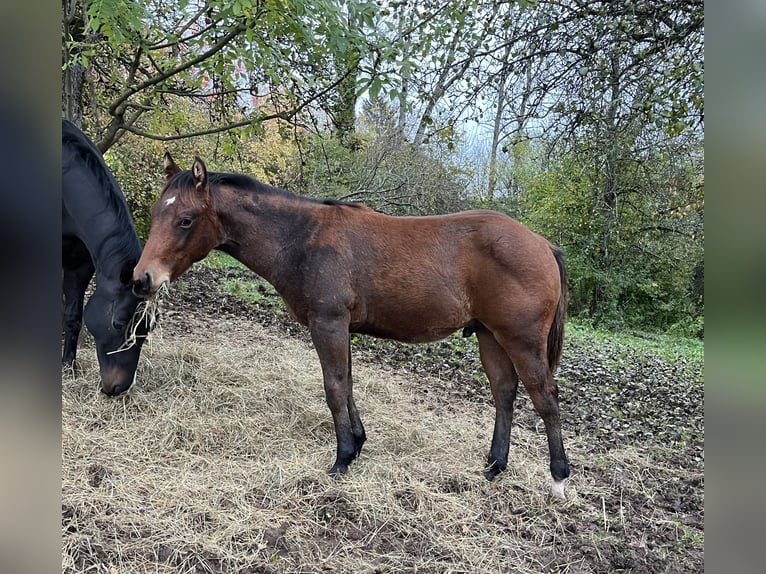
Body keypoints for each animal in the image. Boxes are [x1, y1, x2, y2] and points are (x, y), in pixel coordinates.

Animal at [62, 119, 151, 398]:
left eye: (148, 327)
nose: (118, 388)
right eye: (119, 323)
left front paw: (68, 367)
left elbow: (72, 316)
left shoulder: (79, 265)